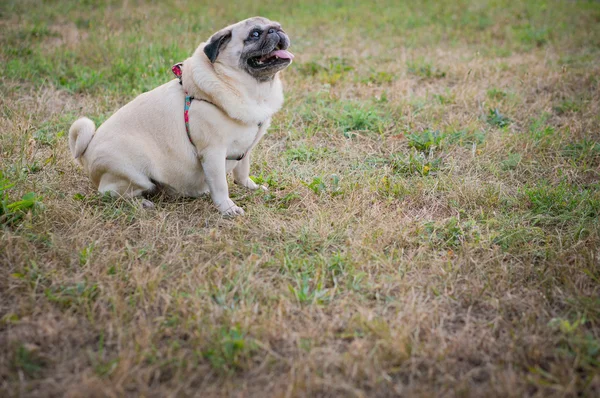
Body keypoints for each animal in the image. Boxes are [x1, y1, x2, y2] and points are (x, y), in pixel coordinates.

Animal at [69, 16, 294, 215]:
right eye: (254, 34)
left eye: (279, 26)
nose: (276, 30)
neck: (253, 91)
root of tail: (87, 151)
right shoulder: (213, 153)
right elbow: (221, 186)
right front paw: (227, 209)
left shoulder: (246, 148)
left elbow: (242, 171)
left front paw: (250, 187)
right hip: (134, 173)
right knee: (111, 193)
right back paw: (142, 203)